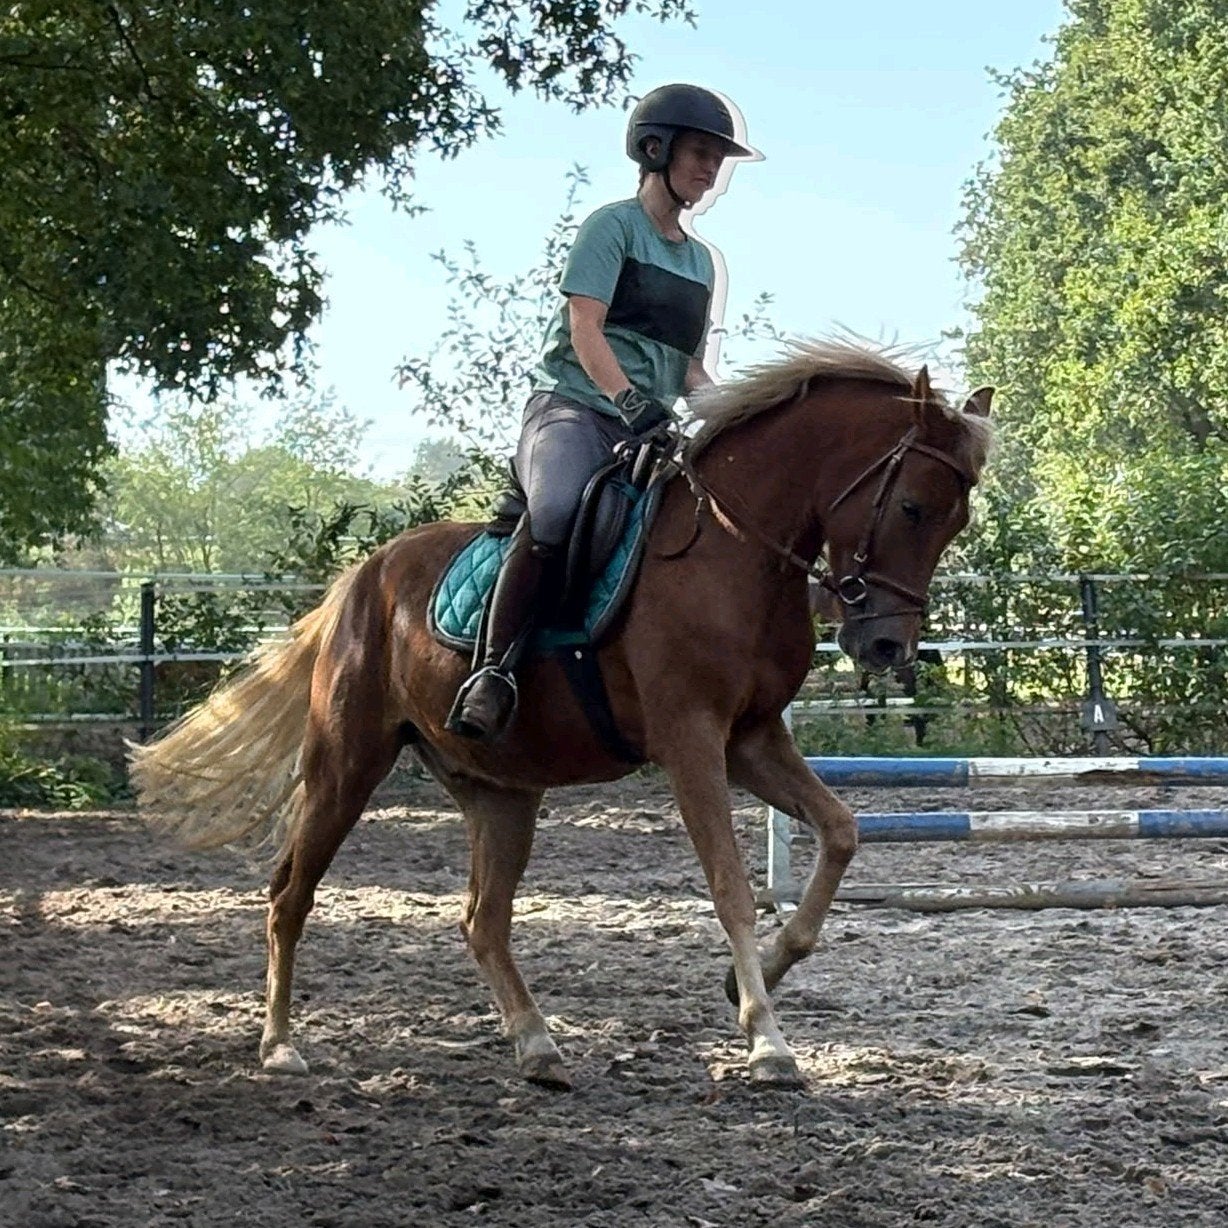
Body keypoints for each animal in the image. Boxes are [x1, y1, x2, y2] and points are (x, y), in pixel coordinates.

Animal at [132, 340, 993, 1089]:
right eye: (912, 507)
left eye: (956, 521)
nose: (885, 645)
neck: (733, 546)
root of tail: (361, 580)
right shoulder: (691, 741)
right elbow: (729, 885)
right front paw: (766, 1040)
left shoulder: (750, 739)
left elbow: (842, 833)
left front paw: (752, 980)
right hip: (346, 764)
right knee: (290, 894)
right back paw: (279, 1045)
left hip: (502, 791)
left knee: (482, 919)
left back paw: (537, 1045)